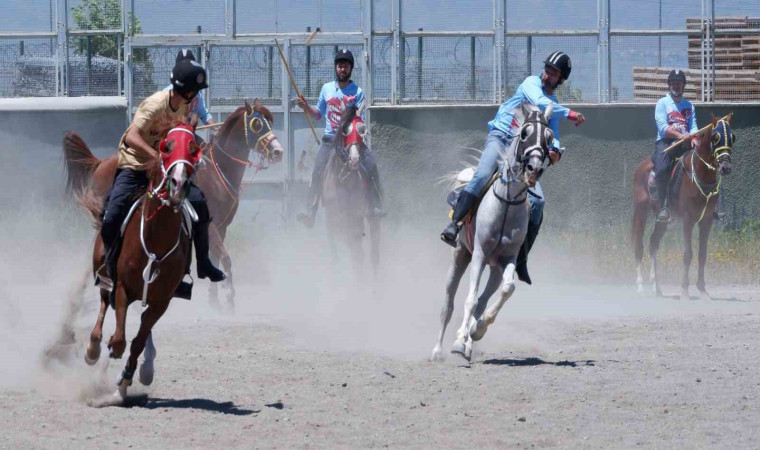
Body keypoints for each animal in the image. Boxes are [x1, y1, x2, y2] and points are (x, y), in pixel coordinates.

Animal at [63, 100, 284, 312]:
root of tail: (99, 163)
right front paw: (229, 299)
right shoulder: (210, 225)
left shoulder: (222, 228)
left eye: (270, 122)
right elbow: (226, 258)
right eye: (257, 124)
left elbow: (215, 258)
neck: (216, 173)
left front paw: (215, 301)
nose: (278, 152)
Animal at [81, 118, 205, 400]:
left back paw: (145, 367)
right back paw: (93, 348)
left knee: (141, 329)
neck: (155, 240)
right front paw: (108, 351)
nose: (178, 184)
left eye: (194, 148)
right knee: (103, 303)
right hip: (104, 270)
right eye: (167, 146)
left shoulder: (162, 301)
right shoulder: (122, 288)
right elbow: (119, 339)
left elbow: (137, 340)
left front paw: (126, 379)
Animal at [434, 103, 552, 362]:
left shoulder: (508, 259)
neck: (505, 205)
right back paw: (438, 350)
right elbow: (469, 299)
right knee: (448, 304)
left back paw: (469, 340)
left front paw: (476, 331)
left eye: (549, 138)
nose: (534, 168)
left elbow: (506, 290)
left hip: (495, 269)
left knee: (483, 300)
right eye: (525, 133)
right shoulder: (478, 254)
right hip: (460, 256)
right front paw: (458, 342)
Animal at [632, 114, 732, 300]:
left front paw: (703, 290)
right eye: (716, 137)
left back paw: (657, 288)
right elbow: (688, 254)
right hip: (641, 211)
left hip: (662, 220)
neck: (699, 174)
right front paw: (685, 290)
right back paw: (641, 285)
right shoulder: (688, 219)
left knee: (653, 244)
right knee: (639, 244)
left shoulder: (706, 220)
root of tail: (641, 166)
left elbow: (702, 254)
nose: (726, 167)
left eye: (733, 137)